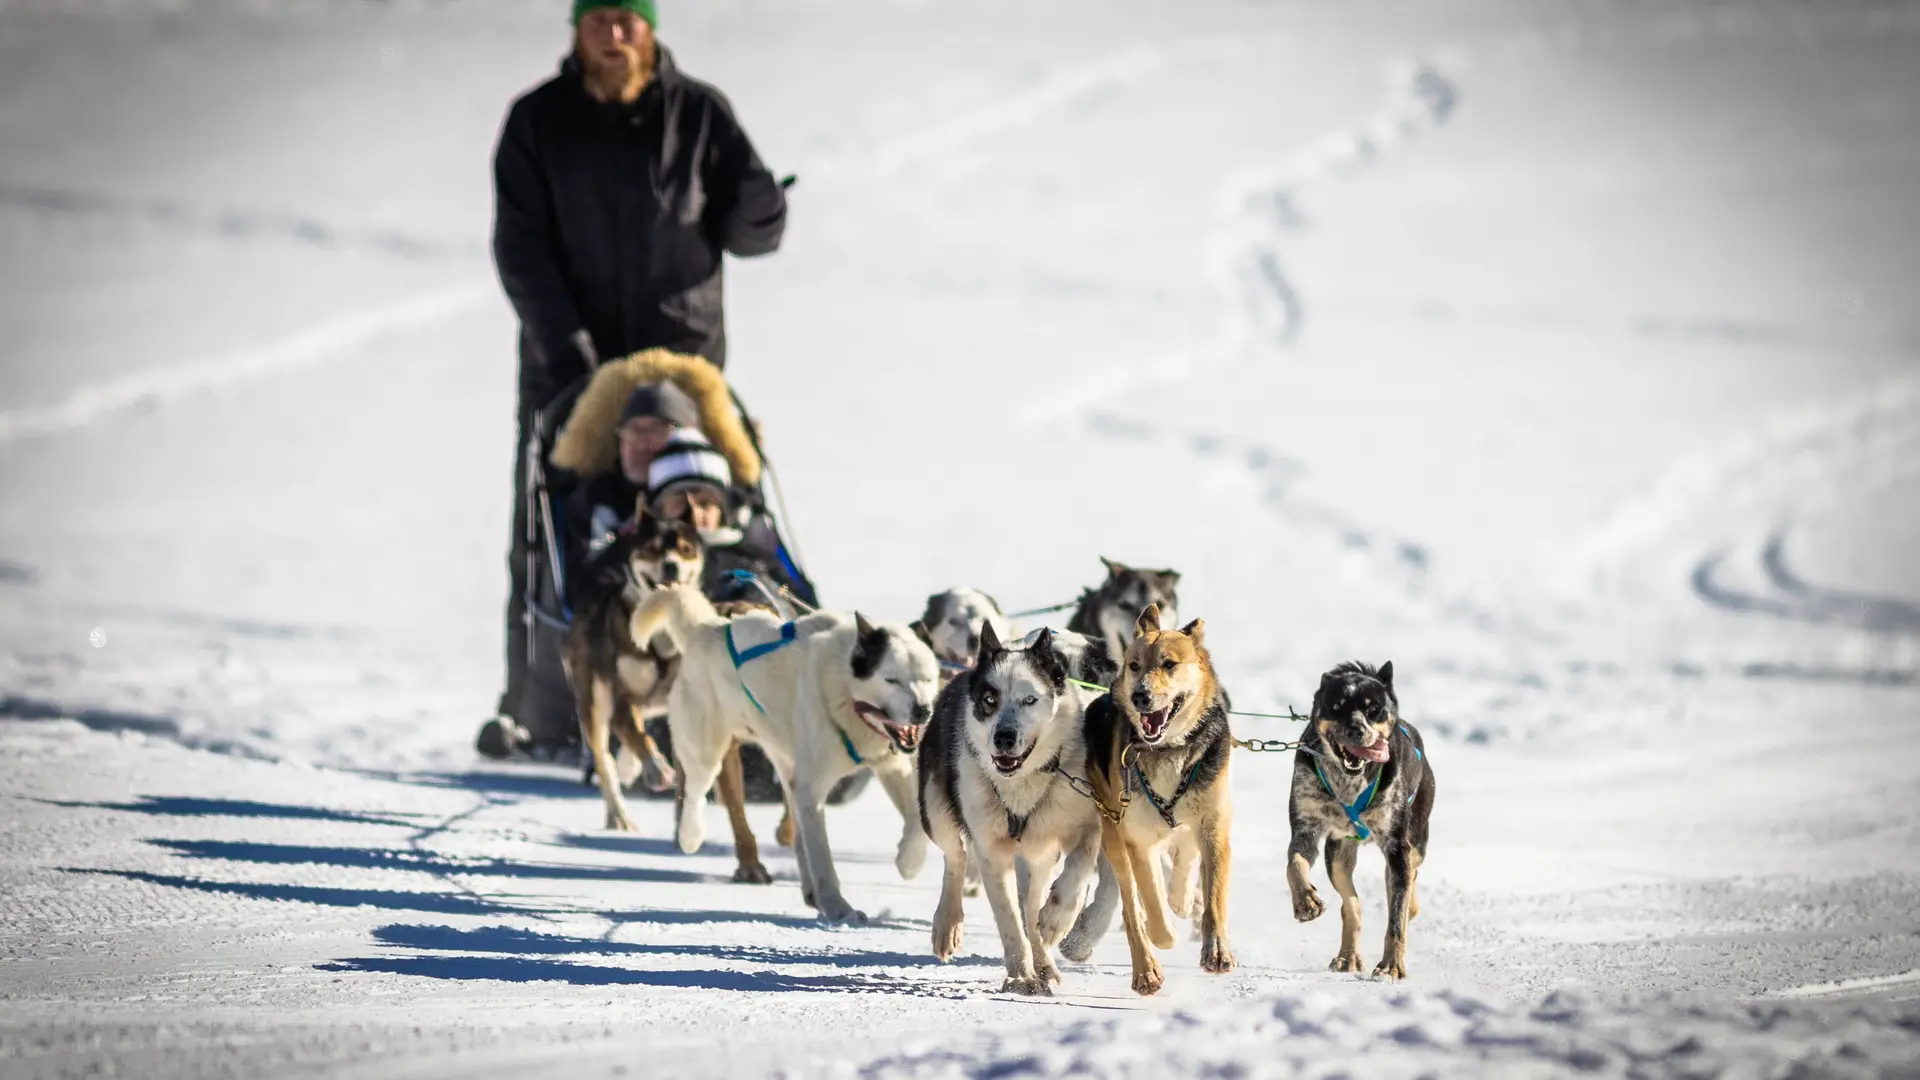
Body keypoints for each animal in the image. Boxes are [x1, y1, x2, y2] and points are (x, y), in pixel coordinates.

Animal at [633, 584, 940, 922]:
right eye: (891, 679)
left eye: (927, 679)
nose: (923, 710)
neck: (846, 694)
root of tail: (709, 628)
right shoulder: (812, 790)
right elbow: (823, 859)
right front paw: (838, 908)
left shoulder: (891, 767)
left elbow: (916, 819)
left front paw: (909, 862)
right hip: (706, 747)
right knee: (695, 790)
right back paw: (690, 835)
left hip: (788, 767)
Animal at [1082, 599, 1228, 991]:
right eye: (1135, 665)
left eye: (1169, 664)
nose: (1140, 696)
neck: (1168, 749)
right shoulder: (1138, 839)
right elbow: (1152, 906)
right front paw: (1166, 932)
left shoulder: (1214, 825)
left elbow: (1213, 895)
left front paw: (1216, 950)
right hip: (1115, 835)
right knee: (1133, 907)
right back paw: (1145, 968)